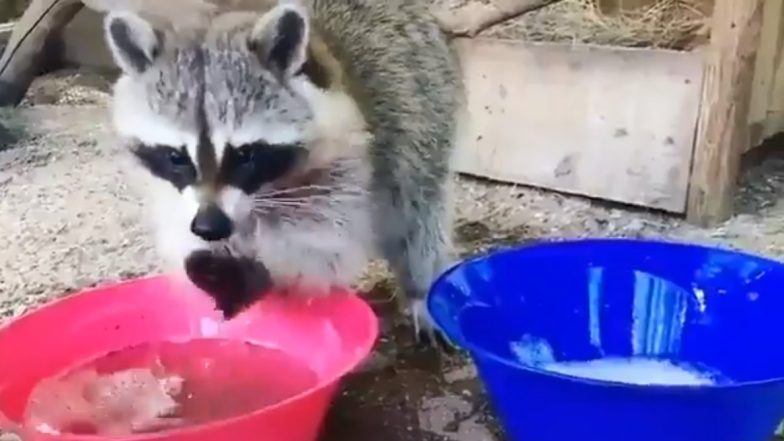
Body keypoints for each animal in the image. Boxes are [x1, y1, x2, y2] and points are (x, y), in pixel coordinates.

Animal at [104, 0, 464, 344]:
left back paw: (421, 290)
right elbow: (179, 229)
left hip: (426, 111)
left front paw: (265, 264)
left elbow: (326, 250)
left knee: (419, 216)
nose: (210, 227)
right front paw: (209, 254)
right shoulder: (170, 191)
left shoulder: (351, 167)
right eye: (176, 156)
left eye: (244, 154)